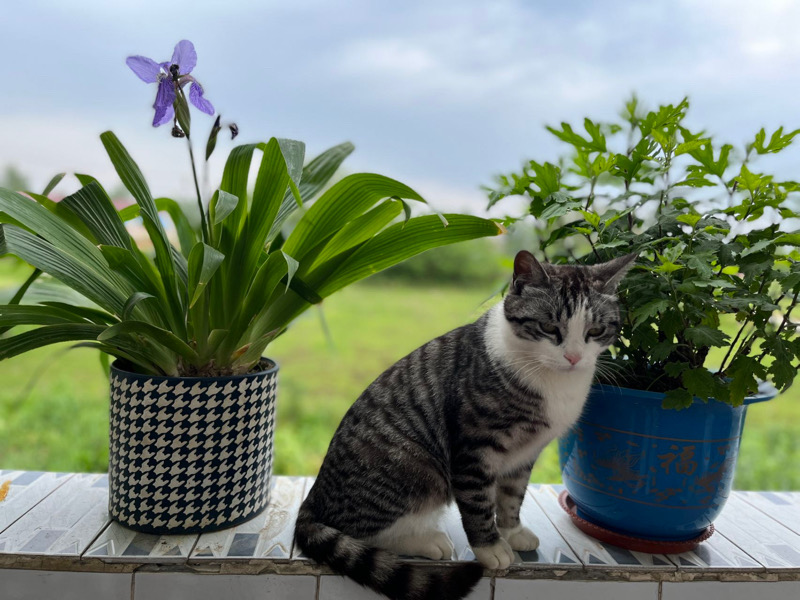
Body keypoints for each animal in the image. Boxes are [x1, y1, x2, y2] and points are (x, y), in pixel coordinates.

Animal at [294, 250, 636, 600]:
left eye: (595, 331)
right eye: (548, 326)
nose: (573, 357)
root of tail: (314, 497)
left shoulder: (527, 453)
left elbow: (512, 495)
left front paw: (512, 530)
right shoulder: (474, 447)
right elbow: (477, 503)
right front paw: (490, 548)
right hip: (417, 468)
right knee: (363, 530)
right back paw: (427, 541)